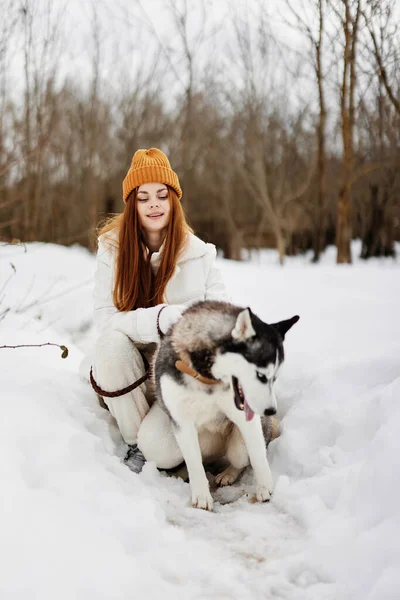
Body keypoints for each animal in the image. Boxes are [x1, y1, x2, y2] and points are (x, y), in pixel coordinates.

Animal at [152, 300, 298, 510]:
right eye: (261, 375)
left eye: (275, 377)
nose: (270, 410)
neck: (207, 379)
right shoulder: (182, 422)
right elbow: (194, 463)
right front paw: (201, 496)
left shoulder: (246, 420)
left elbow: (258, 456)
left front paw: (265, 488)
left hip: (239, 445)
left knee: (241, 460)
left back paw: (229, 473)